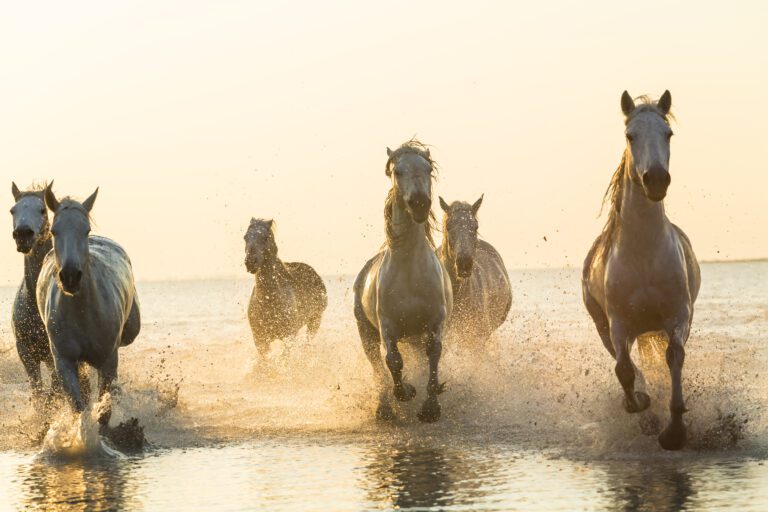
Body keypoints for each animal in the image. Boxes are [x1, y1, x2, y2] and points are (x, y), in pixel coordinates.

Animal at [37, 184, 141, 428]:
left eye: (85, 230)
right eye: (54, 231)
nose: (70, 276)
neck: (83, 313)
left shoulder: (108, 360)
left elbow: (104, 411)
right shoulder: (64, 362)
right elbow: (79, 408)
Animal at [246, 217, 328, 356]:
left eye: (265, 237)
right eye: (245, 237)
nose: (250, 262)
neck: (269, 300)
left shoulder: (288, 336)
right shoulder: (260, 340)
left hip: (315, 320)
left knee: (308, 342)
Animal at [352, 138, 452, 422]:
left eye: (428, 169)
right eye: (397, 171)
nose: (419, 203)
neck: (409, 271)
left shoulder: (435, 320)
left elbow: (434, 352)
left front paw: (430, 408)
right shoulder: (387, 325)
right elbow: (393, 360)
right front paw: (406, 392)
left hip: (415, 336)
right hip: (366, 333)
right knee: (377, 366)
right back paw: (384, 408)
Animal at [584, 90, 704, 450]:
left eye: (668, 134)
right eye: (630, 135)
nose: (656, 180)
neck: (643, 254)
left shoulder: (679, 315)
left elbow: (674, 357)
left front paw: (675, 431)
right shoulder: (619, 323)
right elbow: (624, 370)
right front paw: (642, 409)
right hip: (604, 326)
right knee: (625, 364)